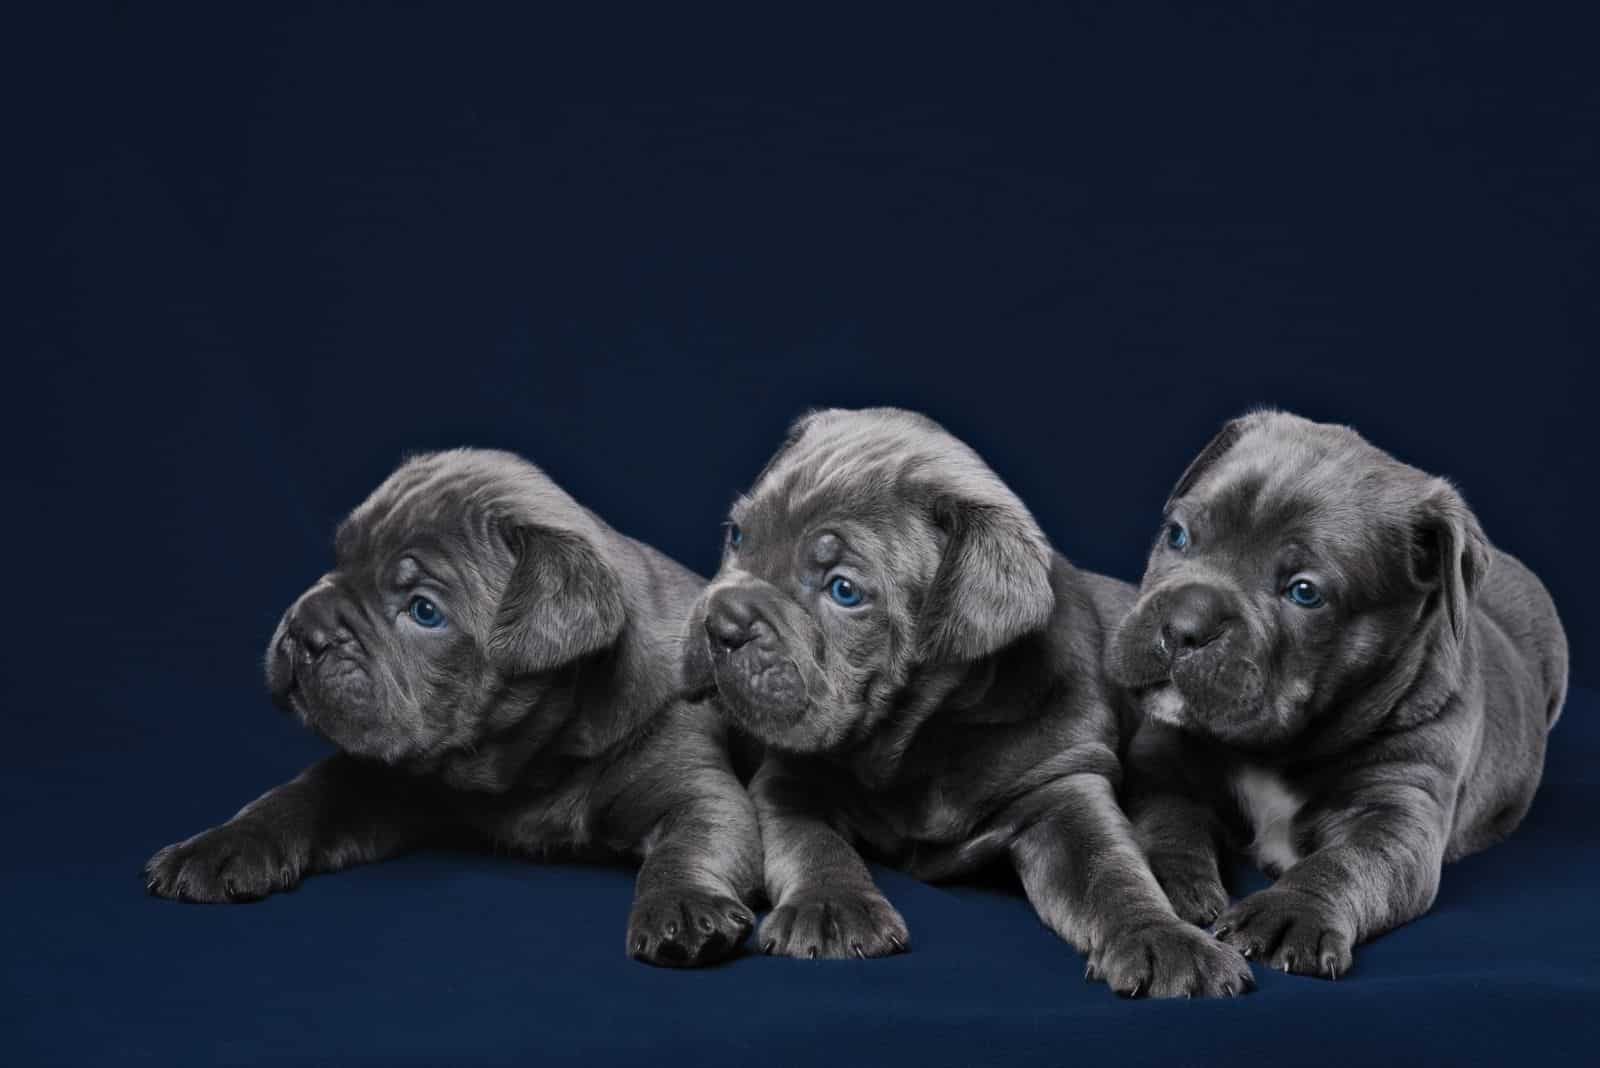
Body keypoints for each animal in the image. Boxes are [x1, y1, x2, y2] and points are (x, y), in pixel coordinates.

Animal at [145, 450, 761, 965]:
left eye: (424, 611)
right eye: (339, 558)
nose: (305, 628)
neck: (527, 763)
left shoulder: (694, 787)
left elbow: (692, 842)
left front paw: (685, 906)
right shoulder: (380, 781)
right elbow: (300, 794)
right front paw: (218, 845)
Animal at [675, 412, 1248, 1004]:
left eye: (844, 591)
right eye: (737, 535)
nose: (723, 622)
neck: (920, 737)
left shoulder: (1063, 784)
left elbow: (1111, 870)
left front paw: (1162, 936)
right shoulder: (787, 777)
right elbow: (809, 840)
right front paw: (832, 906)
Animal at [1107, 409, 1568, 978]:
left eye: (1305, 592)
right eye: (1177, 535)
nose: (1183, 626)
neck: (1280, 750)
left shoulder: (1398, 813)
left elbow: (1346, 862)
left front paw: (1291, 911)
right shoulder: (1164, 760)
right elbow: (1164, 818)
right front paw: (1166, 881)